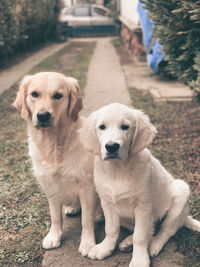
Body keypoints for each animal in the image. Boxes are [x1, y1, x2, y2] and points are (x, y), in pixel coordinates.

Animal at [12, 72, 97, 256]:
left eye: (58, 95)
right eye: (34, 94)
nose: (43, 115)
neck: (53, 143)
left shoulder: (86, 187)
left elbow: (87, 220)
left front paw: (88, 242)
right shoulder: (50, 186)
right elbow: (55, 216)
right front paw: (54, 236)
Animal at [79, 103, 200, 267]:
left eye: (125, 127)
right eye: (102, 127)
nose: (111, 146)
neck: (118, 170)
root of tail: (185, 217)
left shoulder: (143, 205)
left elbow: (140, 236)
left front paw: (139, 259)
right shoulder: (107, 202)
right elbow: (111, 229)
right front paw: (105, 248)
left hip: (180, 194)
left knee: (165, 230)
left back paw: (153, 245)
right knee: (150, 228)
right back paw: (127, 243)